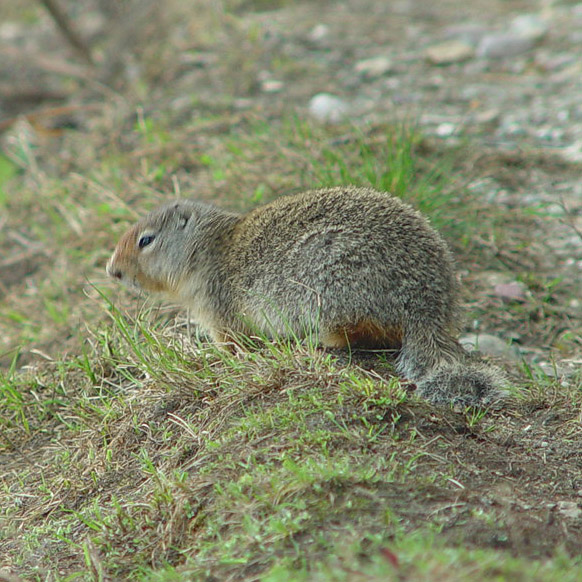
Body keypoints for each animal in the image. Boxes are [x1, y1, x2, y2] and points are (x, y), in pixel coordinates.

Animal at [107, 187, 508, 406]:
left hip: (334, 288)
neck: (206, 248)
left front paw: (213, 357)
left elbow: (232, 342)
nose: (112, 270)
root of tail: (430, 309)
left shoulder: (218, 307)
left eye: (146, 240)